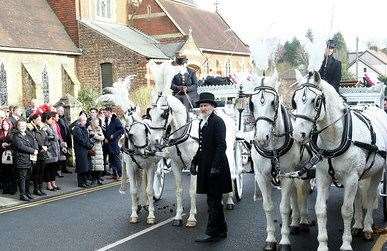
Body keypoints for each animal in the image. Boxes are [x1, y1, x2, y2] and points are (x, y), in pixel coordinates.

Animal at [249, 71, 312, 251]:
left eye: (273, 102)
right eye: (252, 104)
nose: (261, 138)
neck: (273, 149)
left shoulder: (286, 176)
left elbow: (283, 208)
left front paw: (284, 241)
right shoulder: (261, 176)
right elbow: (268, 207)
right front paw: (270, 239)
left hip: (303, 173)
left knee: (303, 191)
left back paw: (303, 220)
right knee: (294, 195)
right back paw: (295, 222)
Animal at [294, 70, 387, 251]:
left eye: (316, 101)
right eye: (294, 101)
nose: (298, 134)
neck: (335, 138)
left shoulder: (351, 177)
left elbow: (347, 211)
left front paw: (346, 244)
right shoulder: (323, 177)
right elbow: (320, 209)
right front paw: (323, 244)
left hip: (377, 172)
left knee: (371, 197)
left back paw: (367, 227)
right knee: (359, 197)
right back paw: (358, 225)